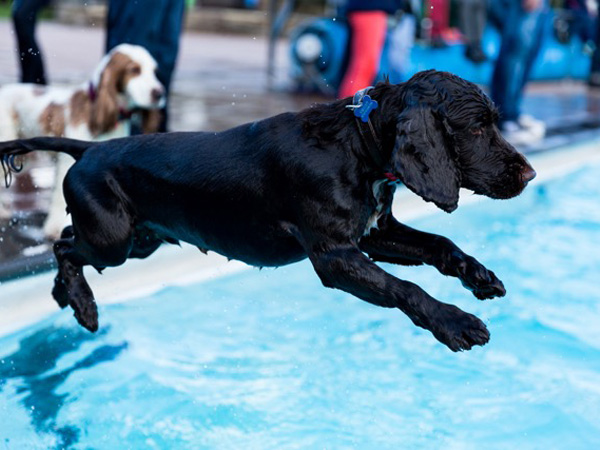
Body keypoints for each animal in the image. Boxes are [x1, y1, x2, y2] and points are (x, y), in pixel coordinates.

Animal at [0, 70, 536, 352]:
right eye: (477, 128)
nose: (529, 174)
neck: (358, 144)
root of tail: (89, 149)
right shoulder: (333, 256)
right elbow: (406, 288)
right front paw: (455, 322)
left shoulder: (369, 234)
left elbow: (439, 244)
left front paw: (480, 277)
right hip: (113, 240)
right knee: (63, 246)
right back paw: (83, 304)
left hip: (140, 240)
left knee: (65, 244)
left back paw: (66, 297)